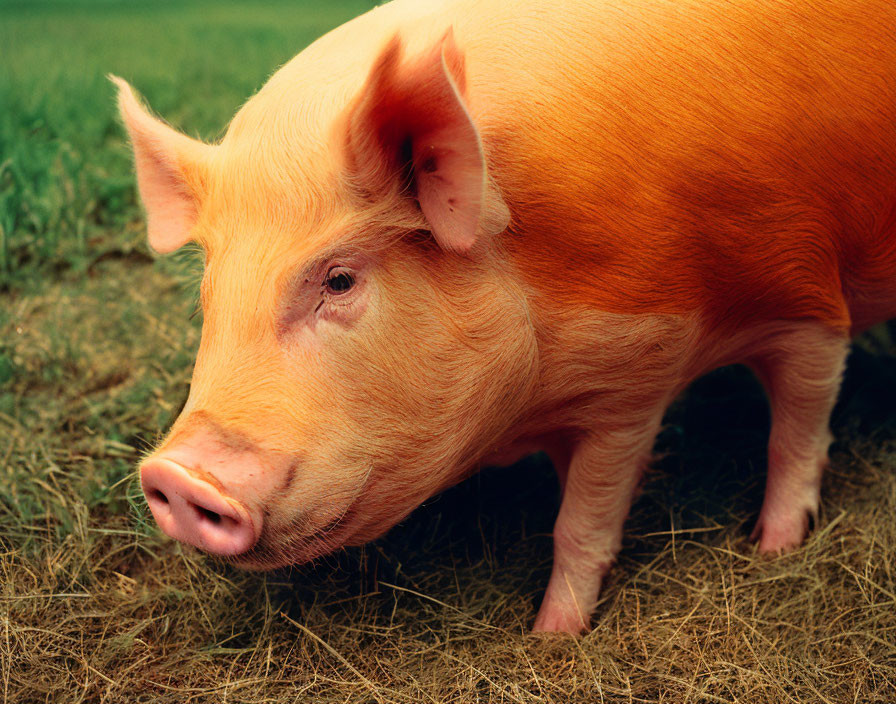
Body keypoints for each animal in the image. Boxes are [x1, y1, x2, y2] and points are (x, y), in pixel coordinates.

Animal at [112, 0, 896, 632]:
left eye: (338, 280)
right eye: (210, 292)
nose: (179, 476)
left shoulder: (782, 300)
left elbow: (781, 437)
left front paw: (557, 637)